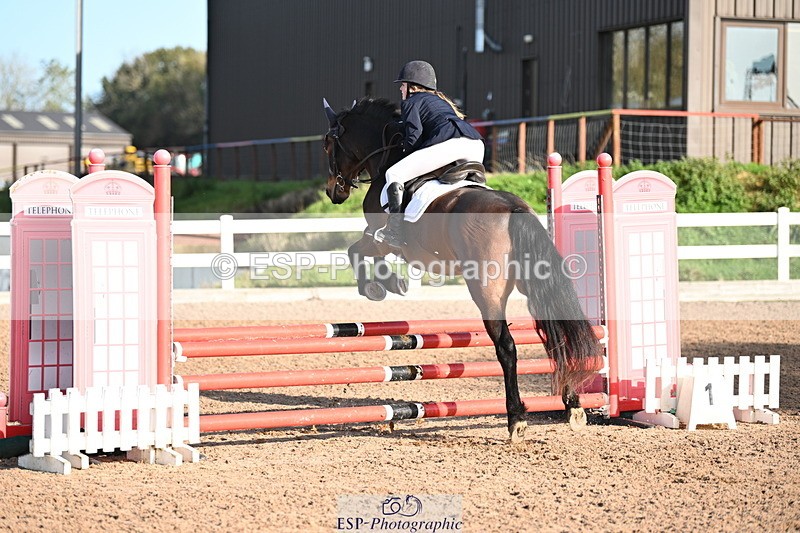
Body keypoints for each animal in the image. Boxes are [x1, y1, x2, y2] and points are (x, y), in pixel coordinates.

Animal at [322, 97, 601, 442]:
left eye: (329, 143)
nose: (334, 192)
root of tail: (515, 208)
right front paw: (391, 283)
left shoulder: (379, 236)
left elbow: (358, 250)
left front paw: (378, 286)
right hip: (534, 283)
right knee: (555, 334)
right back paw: (573, 406)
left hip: (486, 291)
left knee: (506, 346)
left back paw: (516, 419)